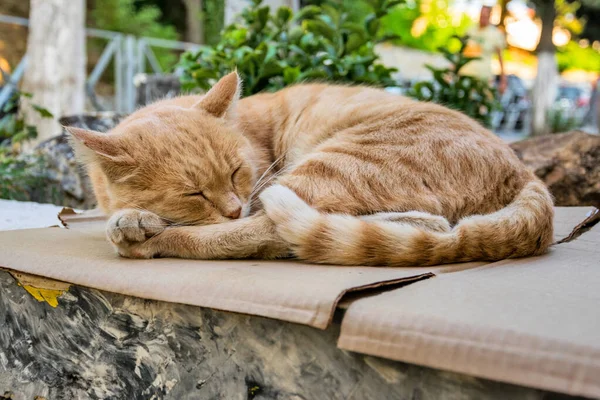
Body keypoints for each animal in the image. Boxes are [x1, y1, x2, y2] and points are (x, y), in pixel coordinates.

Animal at [68, 72, 556, 266]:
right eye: (194, 193)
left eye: (236, 172)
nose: (232, 207)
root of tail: (526, 171)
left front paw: (132, 221)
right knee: (432, 225)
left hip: (333, 165)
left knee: (260, 234)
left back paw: (142, 239)